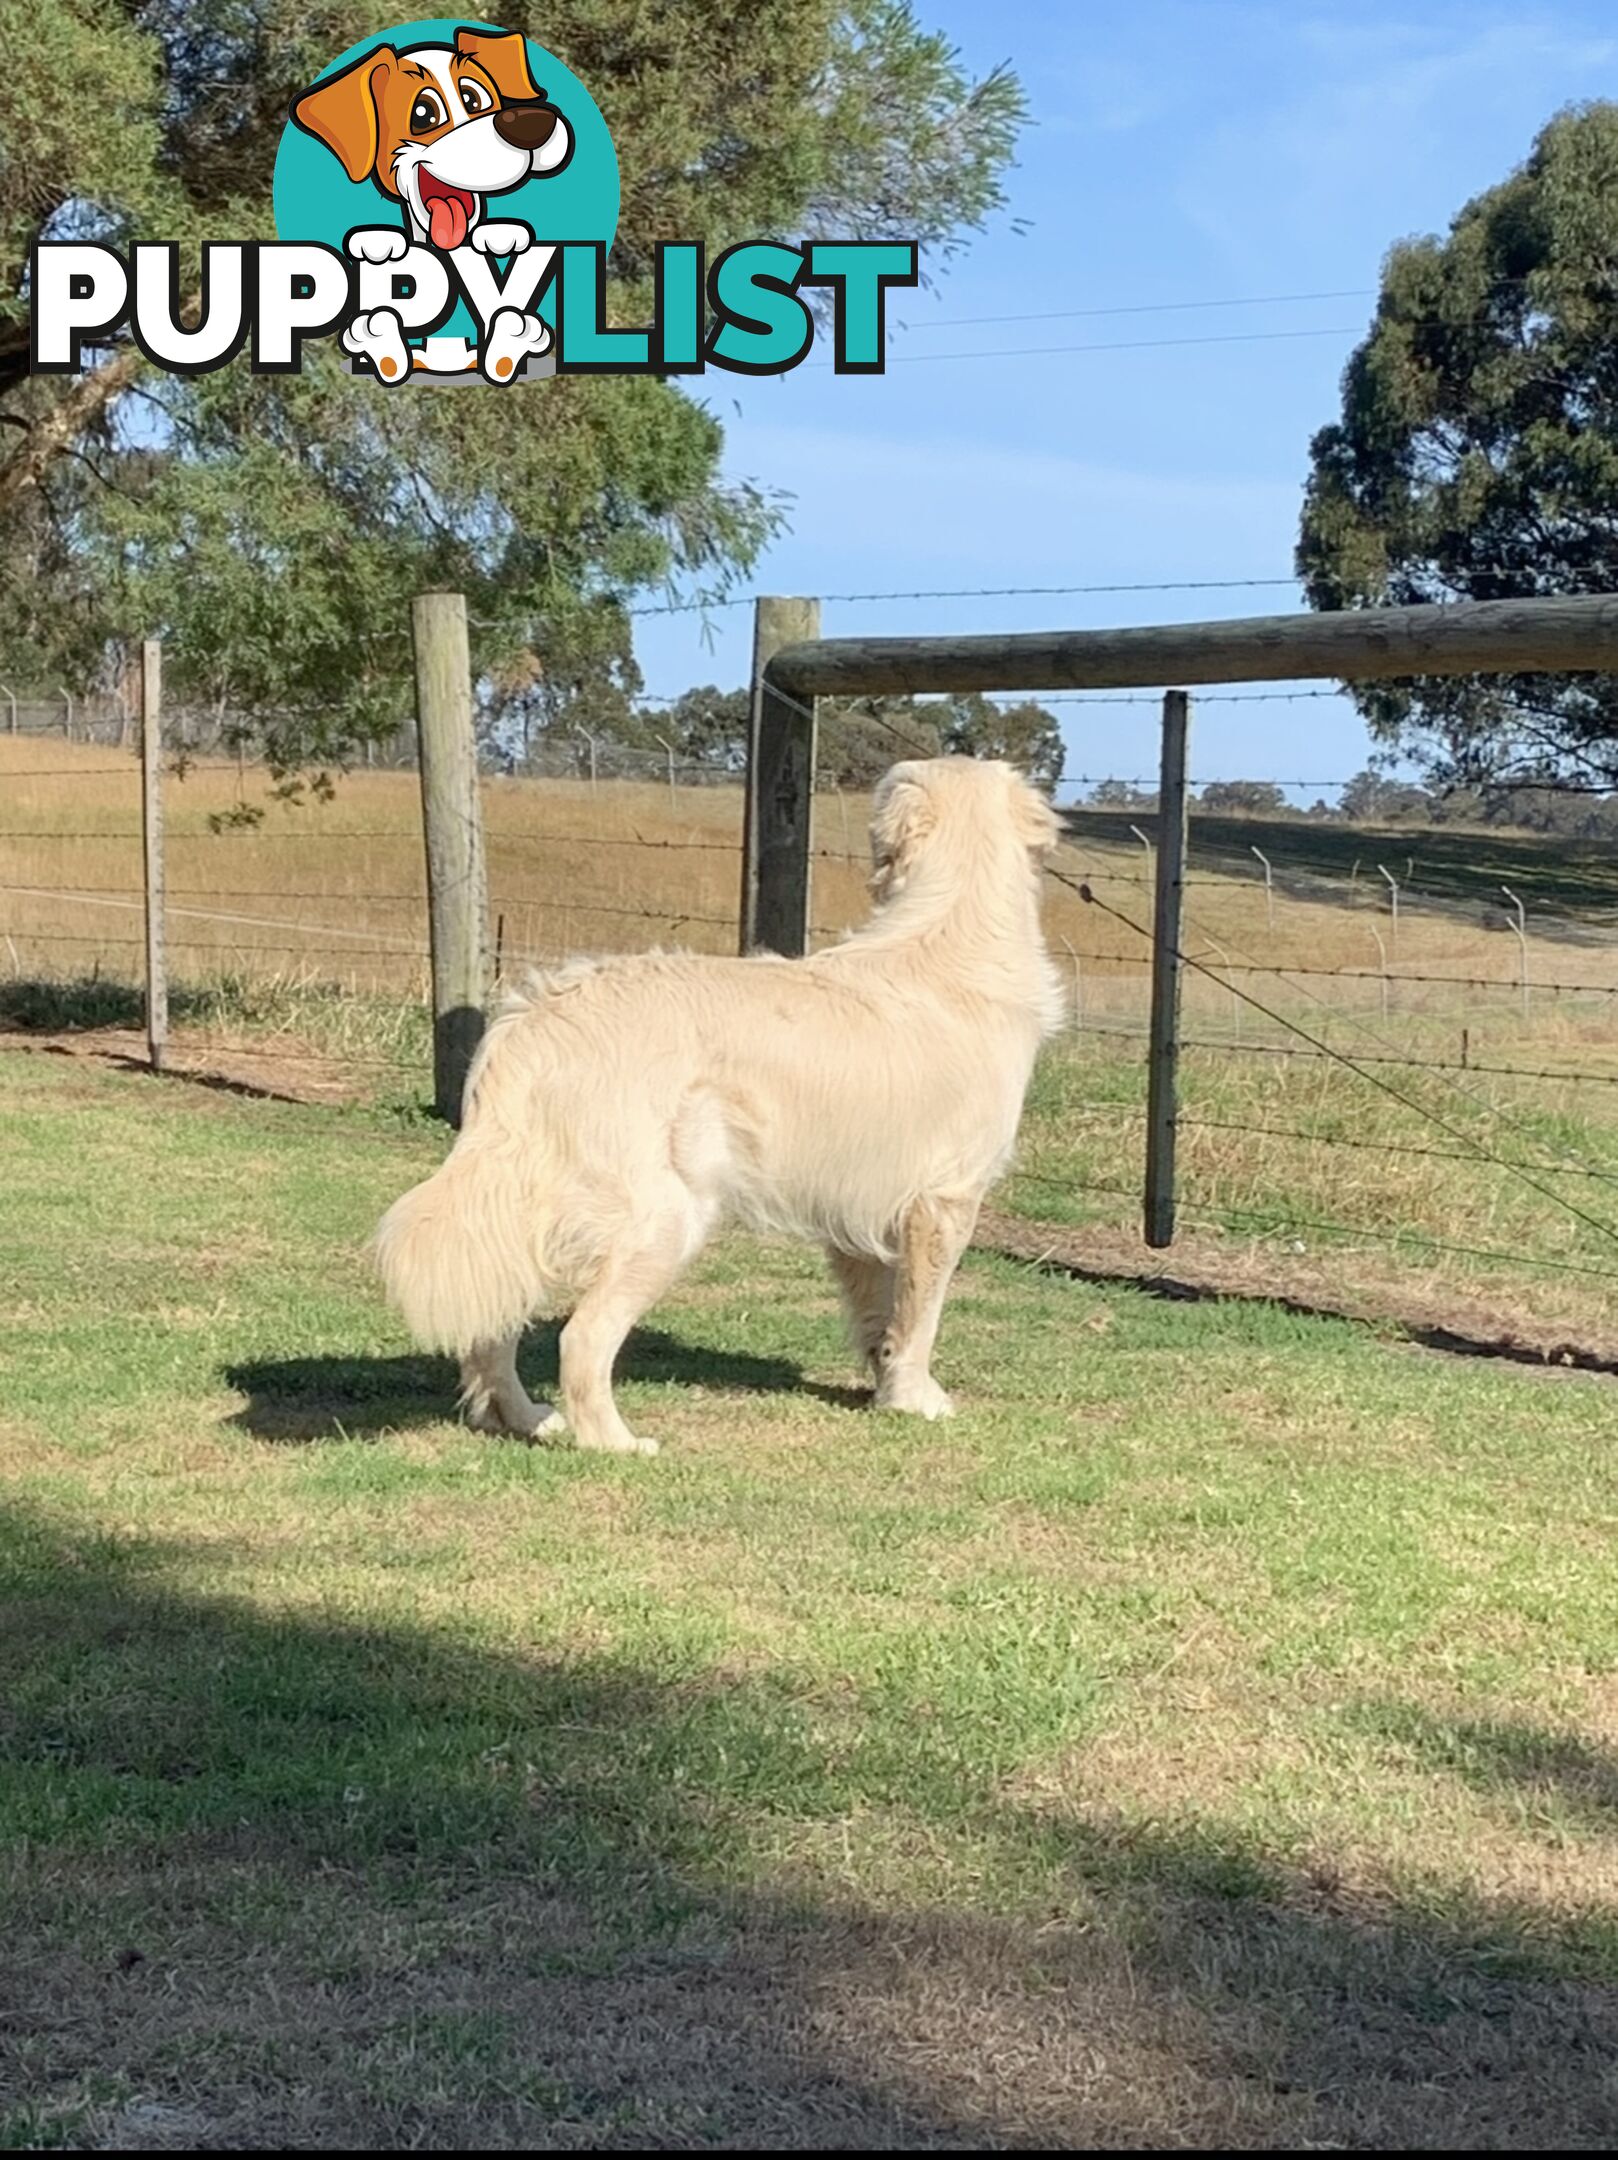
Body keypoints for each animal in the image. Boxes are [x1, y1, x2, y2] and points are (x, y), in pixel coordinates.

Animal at [373, 756, 1067, 1451]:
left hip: (530, 1208)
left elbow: (881, 1319)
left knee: (494, 1323)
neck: (953, 923)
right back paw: (616, 1442)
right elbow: (919, 1316)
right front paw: (919, 1399)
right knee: (581, 1338)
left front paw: (887, 1390)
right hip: (664, 1217)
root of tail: (538, 1014)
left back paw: (524, 1417)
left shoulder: (860, 1207)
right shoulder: (944, 1202)